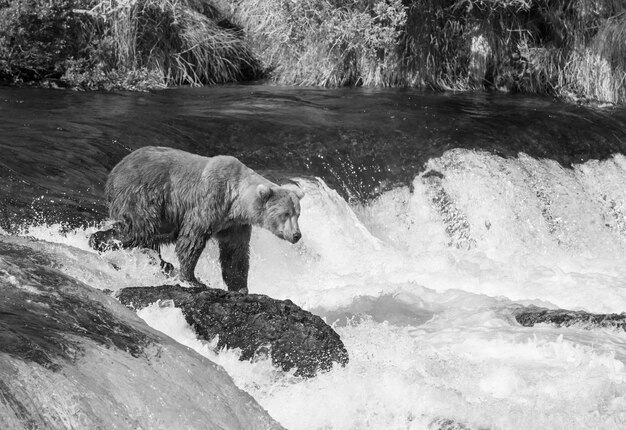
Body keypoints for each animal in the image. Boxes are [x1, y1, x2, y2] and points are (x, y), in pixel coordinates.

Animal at [91, 146, 304, 294]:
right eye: (285, 214)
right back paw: (98, 240)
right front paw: (193, 279)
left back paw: (162, 263)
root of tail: (114, 172)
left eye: (298, 214)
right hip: (144, 195)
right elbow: (192, 240)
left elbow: (235, 254)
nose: (297, 235)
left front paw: (241, 286)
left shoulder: (234, 225)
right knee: (139, 229)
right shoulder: (210, 202)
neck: (236, 200)